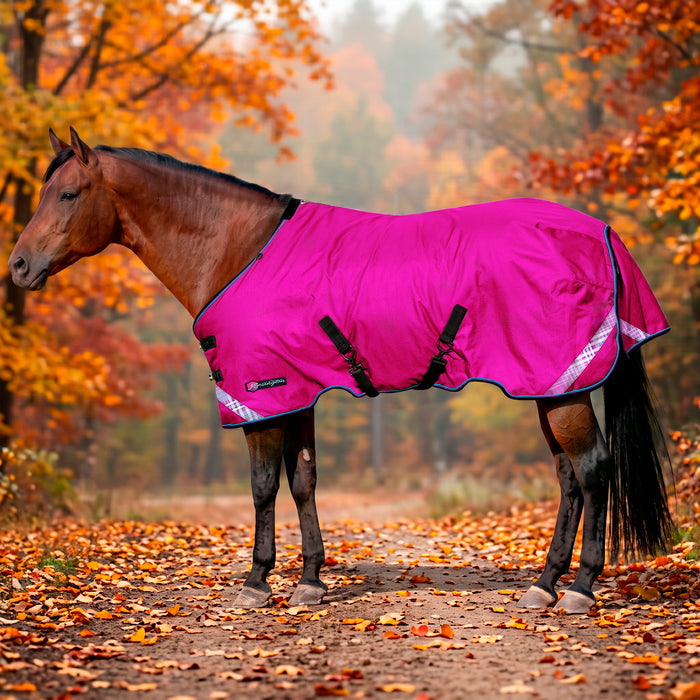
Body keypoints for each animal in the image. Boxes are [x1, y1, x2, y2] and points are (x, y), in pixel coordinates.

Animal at [8, 128, 672, 614]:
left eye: (67, 194)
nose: (17, 266)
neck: (239, 251)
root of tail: (602, 233)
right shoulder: (296, 392)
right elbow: (302, 481)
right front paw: (309, 581)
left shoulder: (258, 395)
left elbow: (262, 487)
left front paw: (256, 582)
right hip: (550, 385)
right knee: (568, 478)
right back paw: (545, 584)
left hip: (562, 387)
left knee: (593, 469)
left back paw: (580, 589)